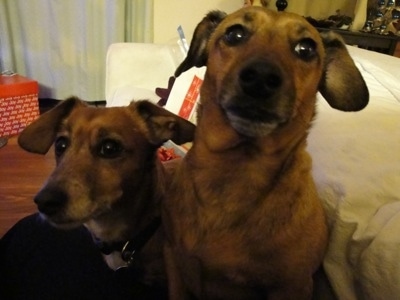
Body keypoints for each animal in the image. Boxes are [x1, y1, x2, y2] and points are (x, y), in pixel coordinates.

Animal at [162, 7, 368, 300]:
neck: (235, 171)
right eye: (234, 34)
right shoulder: (173, 257)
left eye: (306, 48)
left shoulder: (293, 285)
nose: (260, 77)